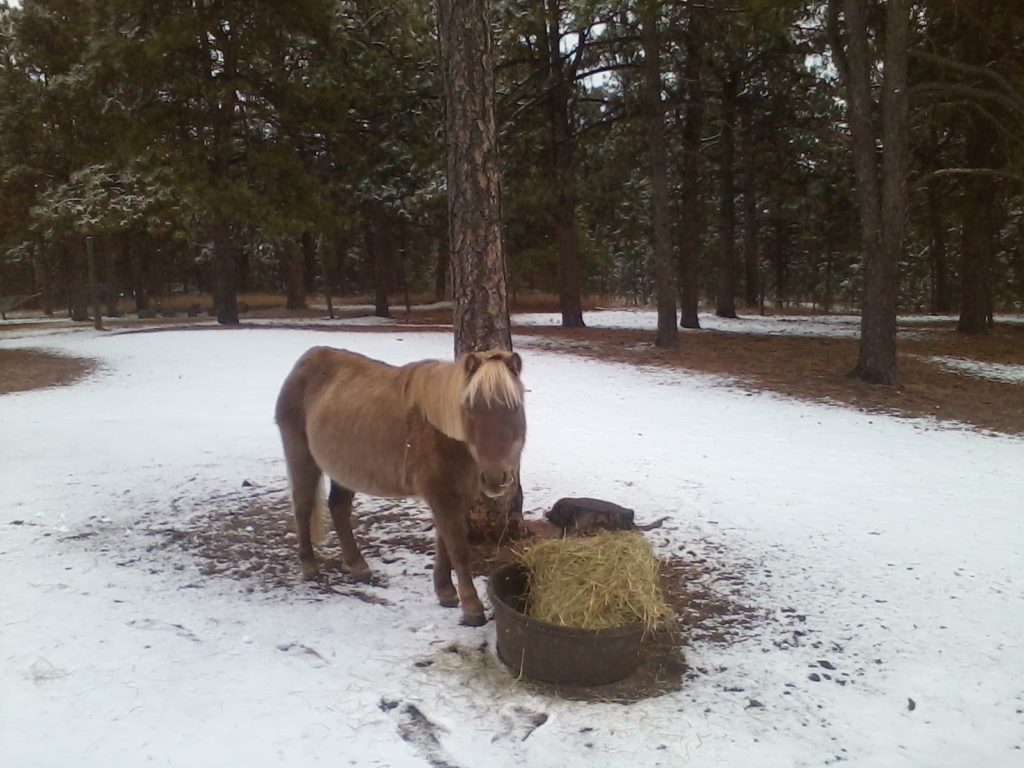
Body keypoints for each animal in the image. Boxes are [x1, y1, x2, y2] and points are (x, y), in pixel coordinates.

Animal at [274, 348, 528, 626]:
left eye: (515, 406)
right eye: (470, 407)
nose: (495, 478)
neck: (446, 434)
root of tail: (306, 360)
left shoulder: (457, 495)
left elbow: (443, 543)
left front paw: (446, 593)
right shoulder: (442, 495)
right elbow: (458, 549)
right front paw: (472, 609)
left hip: (346, 470)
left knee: (338, 507)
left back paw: (357, 566)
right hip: (301, 456)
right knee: (303, 506)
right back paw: (309, 566)